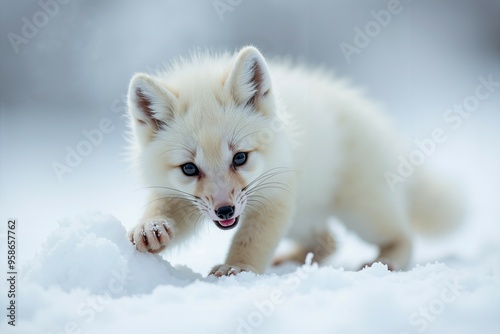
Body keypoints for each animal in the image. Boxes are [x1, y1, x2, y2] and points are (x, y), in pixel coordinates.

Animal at [127, 45, 462, 276]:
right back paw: (291, 260)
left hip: (362, 214)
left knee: (403, 236)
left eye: (240, 157)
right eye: (189, 168)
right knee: (329, 241)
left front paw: (237, 268)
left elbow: (250, 240)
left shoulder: (275, 195)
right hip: (301, 218)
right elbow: (161, 210)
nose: (225, 210)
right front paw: (151, 228)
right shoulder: (176, 194)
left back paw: (386, 261)